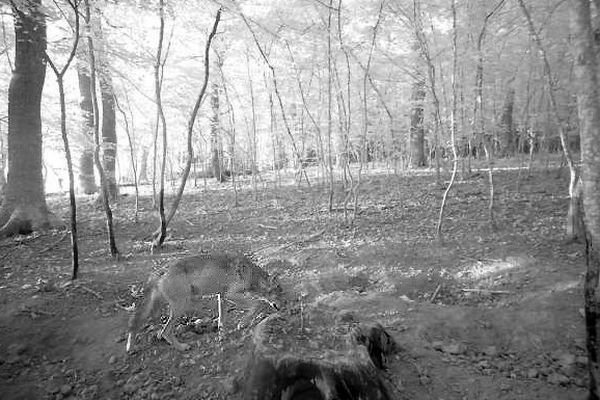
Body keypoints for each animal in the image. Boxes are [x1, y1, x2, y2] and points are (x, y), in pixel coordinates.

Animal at [126, 255, 282, 352]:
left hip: (158, 309)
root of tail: (161, 271)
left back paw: (131, 348)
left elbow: (221, 321)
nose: (282, 307)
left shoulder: (222, 297)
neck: (250, 273)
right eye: (280, 294)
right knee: (164, 332)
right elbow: (257, 305)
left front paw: (222, 336)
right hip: (180, 307)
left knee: (138, 326)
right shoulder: (230, 295)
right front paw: (243, 323)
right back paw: (182, 347)